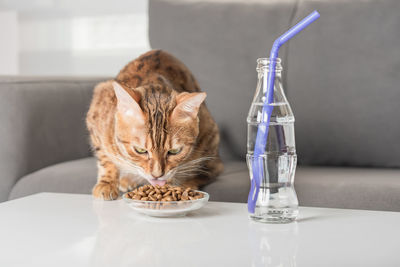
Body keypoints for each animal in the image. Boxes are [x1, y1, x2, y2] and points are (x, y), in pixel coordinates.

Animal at [86, 50, 223, 201]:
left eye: (174, 151)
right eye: (140, 150)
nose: (157, 175)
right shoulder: (96, 113)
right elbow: (105, 158)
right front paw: (107, 183)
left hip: (209, 135)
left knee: (212, 170)